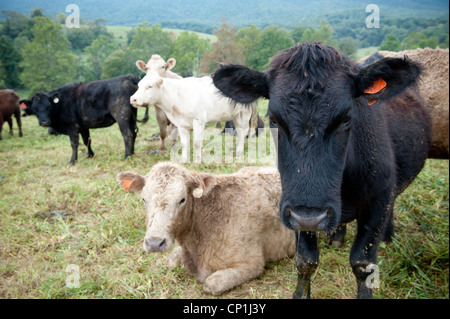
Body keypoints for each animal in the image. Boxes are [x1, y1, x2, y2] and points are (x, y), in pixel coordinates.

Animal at [213, 42, 434, 300]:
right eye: (274, 120)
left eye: (347, 118)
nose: (310, 216)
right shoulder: (294, 212)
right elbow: (305, 261)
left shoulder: (378, 201)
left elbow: (363, 263)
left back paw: (388, 237)